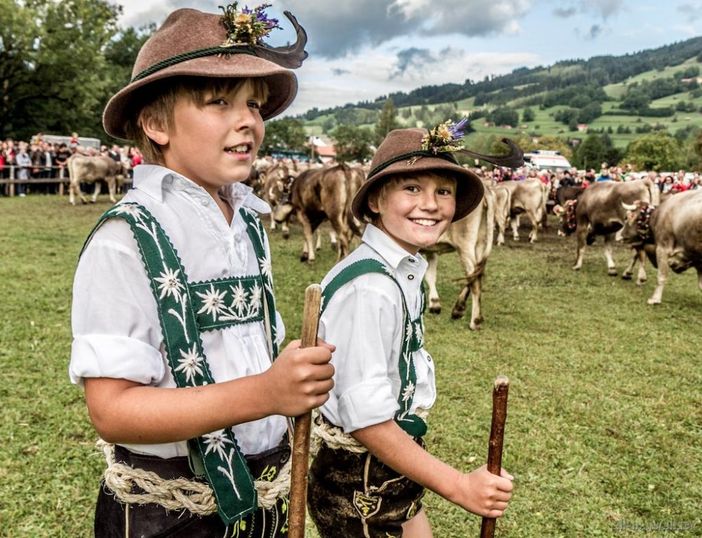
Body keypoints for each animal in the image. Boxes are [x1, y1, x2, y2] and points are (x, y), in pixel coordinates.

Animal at [420, 188, 498, 330]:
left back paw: (475, 321)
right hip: (480, 243)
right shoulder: (431, 249)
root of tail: (486, 188)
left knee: (474, 279)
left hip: (465, 244)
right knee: (475, 274)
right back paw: (458, 309)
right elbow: (430, 275)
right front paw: (435, 304)